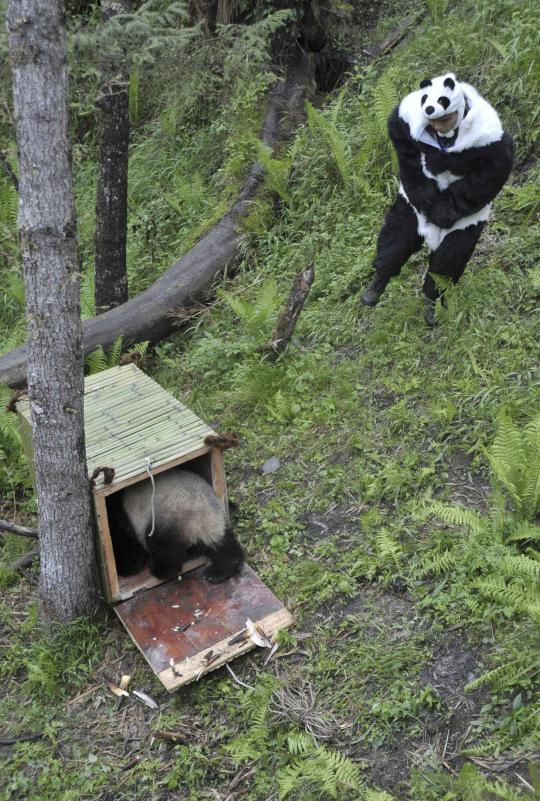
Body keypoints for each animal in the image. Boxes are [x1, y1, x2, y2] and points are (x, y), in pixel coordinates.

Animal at [106, 468, 244, 583]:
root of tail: (202, 522)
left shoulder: (122, 520)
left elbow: (127, 548)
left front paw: (127, 567)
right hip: (219, 522)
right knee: (225, 546)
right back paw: (218, 572)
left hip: (167, 522)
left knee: (165, 552)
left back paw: (160, 569)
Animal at [361, 72, 514, 325]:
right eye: (425, 99)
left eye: (443, 100)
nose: (430, 110)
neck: (447, 136)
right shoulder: (410, 116)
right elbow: (401, 138)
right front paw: (427, 193)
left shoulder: (487, 139)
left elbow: (492, 171)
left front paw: (442, 210)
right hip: (409, 210)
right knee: (396, 238)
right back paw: (375, 286)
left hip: (466, 224)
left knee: (447, 262)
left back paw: (432, 305)